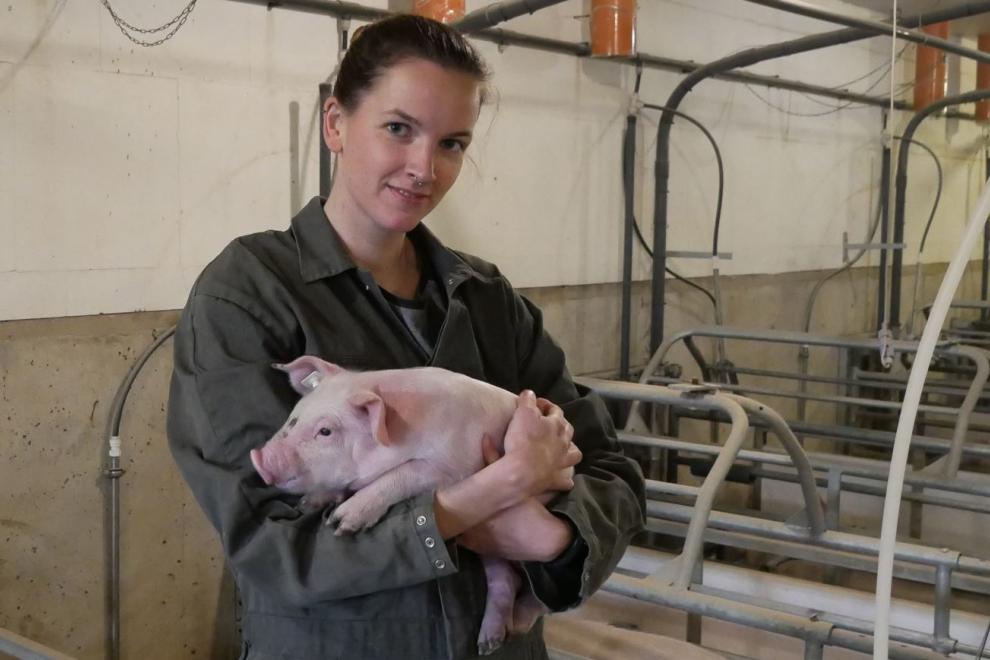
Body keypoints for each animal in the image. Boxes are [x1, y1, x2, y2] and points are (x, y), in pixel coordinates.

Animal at [249, 355, 579, 655]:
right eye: (294, 419)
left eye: (326, 431)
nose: (259, 457)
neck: (402, 437)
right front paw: (309, 504)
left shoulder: (456, 467)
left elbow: (402, 474)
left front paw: (341, 524)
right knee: (504, 578)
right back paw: (489, 643)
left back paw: (516, 624)